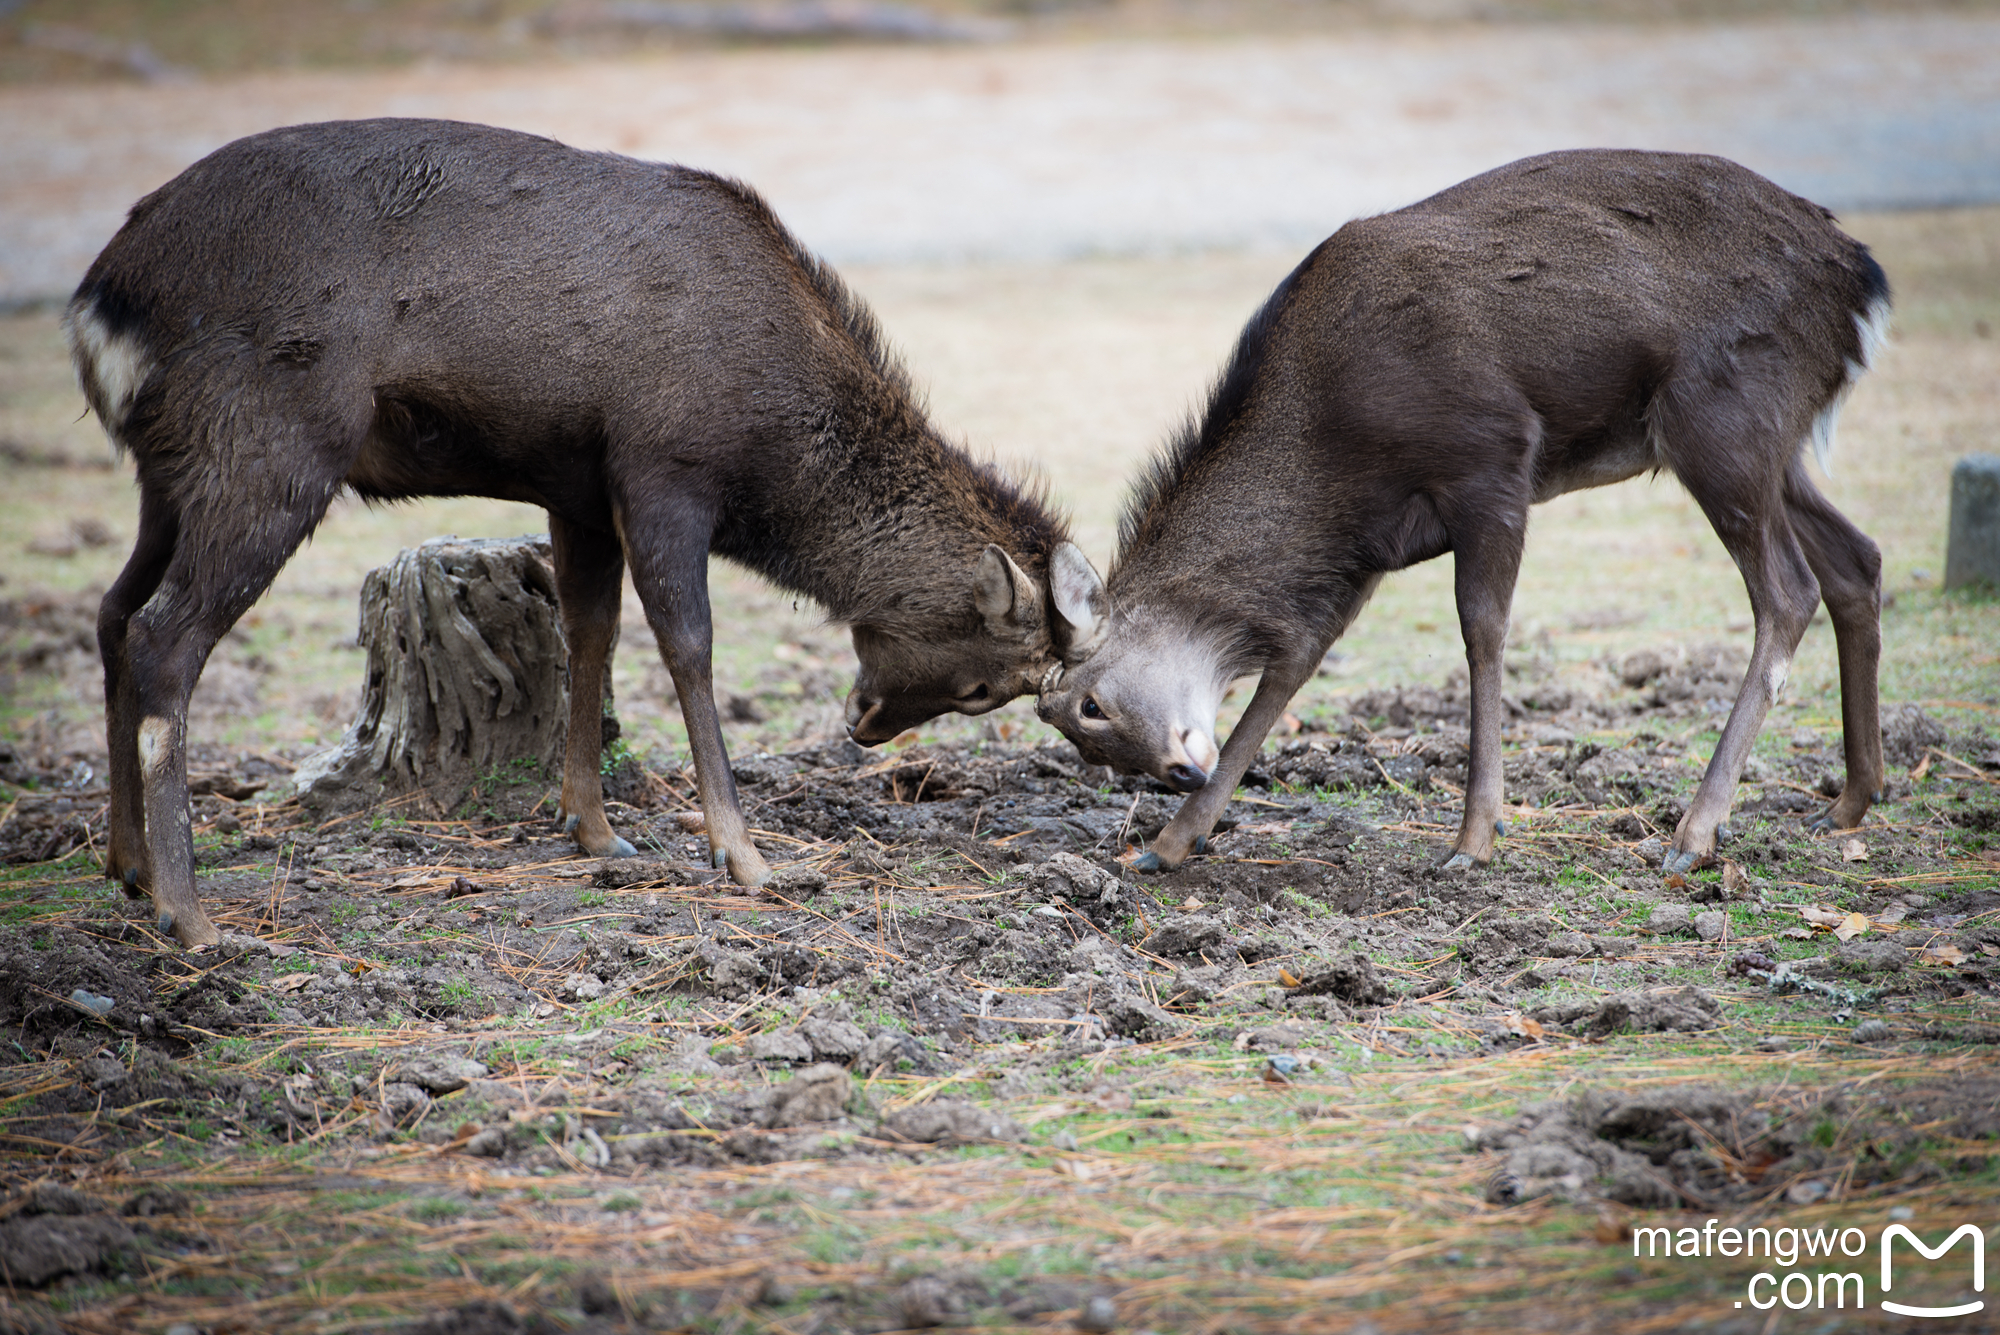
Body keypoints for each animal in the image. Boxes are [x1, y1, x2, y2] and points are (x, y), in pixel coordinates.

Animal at [66, 117, 1096, 947]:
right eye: (982, 687)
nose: (865, 724)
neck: (770, 439)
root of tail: (101, 303)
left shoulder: (579, 489)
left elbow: (589, 633)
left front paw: (595, 829)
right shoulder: (663, 463)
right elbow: (687, 645)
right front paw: (746, 857)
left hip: (170, 472)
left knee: (113, 612)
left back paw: (126, 865)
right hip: (270, 444)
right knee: (164, 637)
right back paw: (191, 914)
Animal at [1040, 148, 1896, 875]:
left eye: (1088, 705)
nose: (1179, 771)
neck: (1333, 449)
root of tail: (1862, 279)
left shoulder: (1491, 456)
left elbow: (1481, 630)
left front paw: (1474, 837)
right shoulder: (1364, 548)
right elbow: (1293, 667)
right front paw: (1167, 844)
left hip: (1722, 412)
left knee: (1788, 590)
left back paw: (1695, 831)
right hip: (1770, 440)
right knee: (1856, 557)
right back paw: (1850, 800)